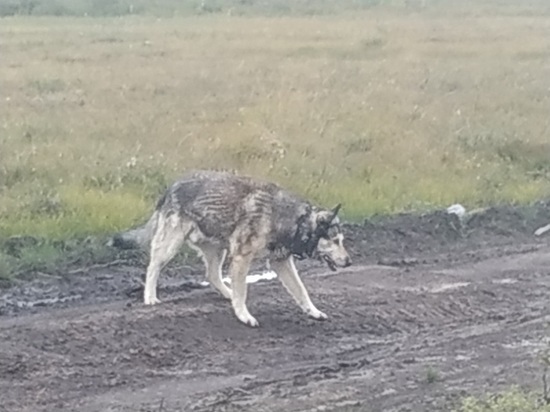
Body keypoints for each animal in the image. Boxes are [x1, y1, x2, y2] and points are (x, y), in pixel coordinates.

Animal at [112, 169, 354, 326]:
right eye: (335, 241)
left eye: (342, 240)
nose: (349, 261)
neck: (293, 220)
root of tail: (171, 186)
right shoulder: (242, 258)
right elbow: (243, 291)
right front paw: (243, 315)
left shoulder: (281, 263)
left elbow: (301, 290)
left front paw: (314, 312)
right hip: (171, 245)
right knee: (153, 267)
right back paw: (150, 297)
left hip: (217, 250)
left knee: (212, 275)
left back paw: (227, 293)